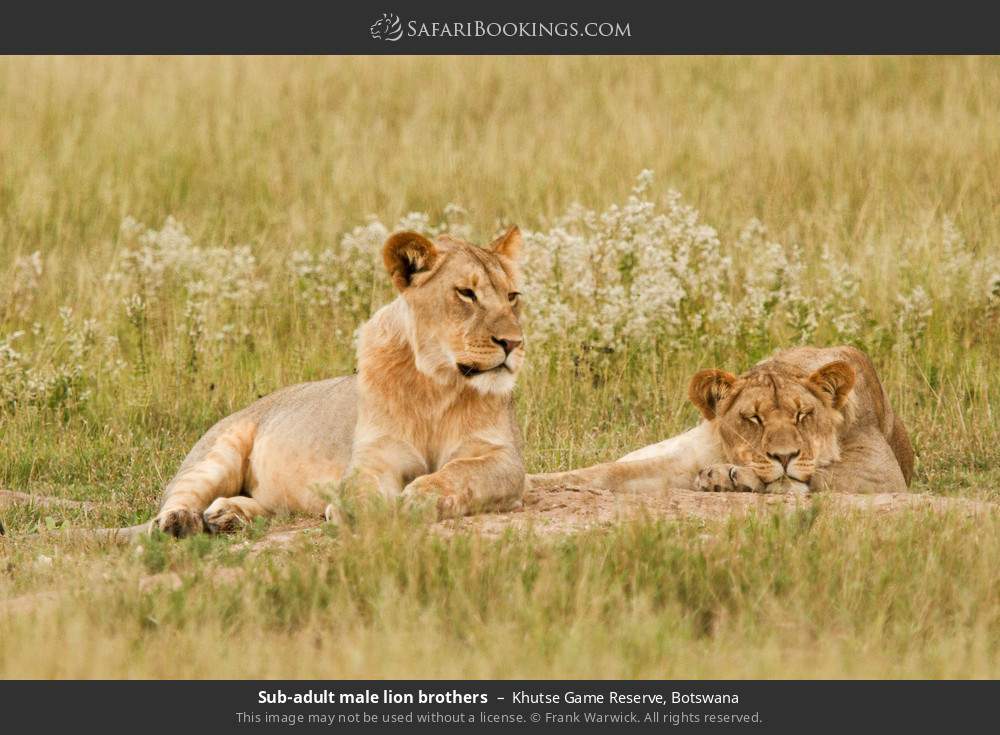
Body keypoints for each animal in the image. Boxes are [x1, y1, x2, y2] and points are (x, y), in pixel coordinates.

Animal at [147, 227, 527, 537]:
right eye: (466, 293)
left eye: (512, 297)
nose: (513, 343)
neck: (437, 382)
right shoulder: (375, 456)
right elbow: (360, 489)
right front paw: (359, 513)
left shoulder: (503, 458)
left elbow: (457, 472)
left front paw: (416, 498)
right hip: (217, 453)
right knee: (177, 494)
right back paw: (180, 521)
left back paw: (230, 514)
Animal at [530, 346, 914, 496]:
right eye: (753, 418)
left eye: (803, 415)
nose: (785, 455)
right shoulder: (683, 459)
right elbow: (608, 472)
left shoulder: (883, 475)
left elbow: (812, 475)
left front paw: (729, 476)